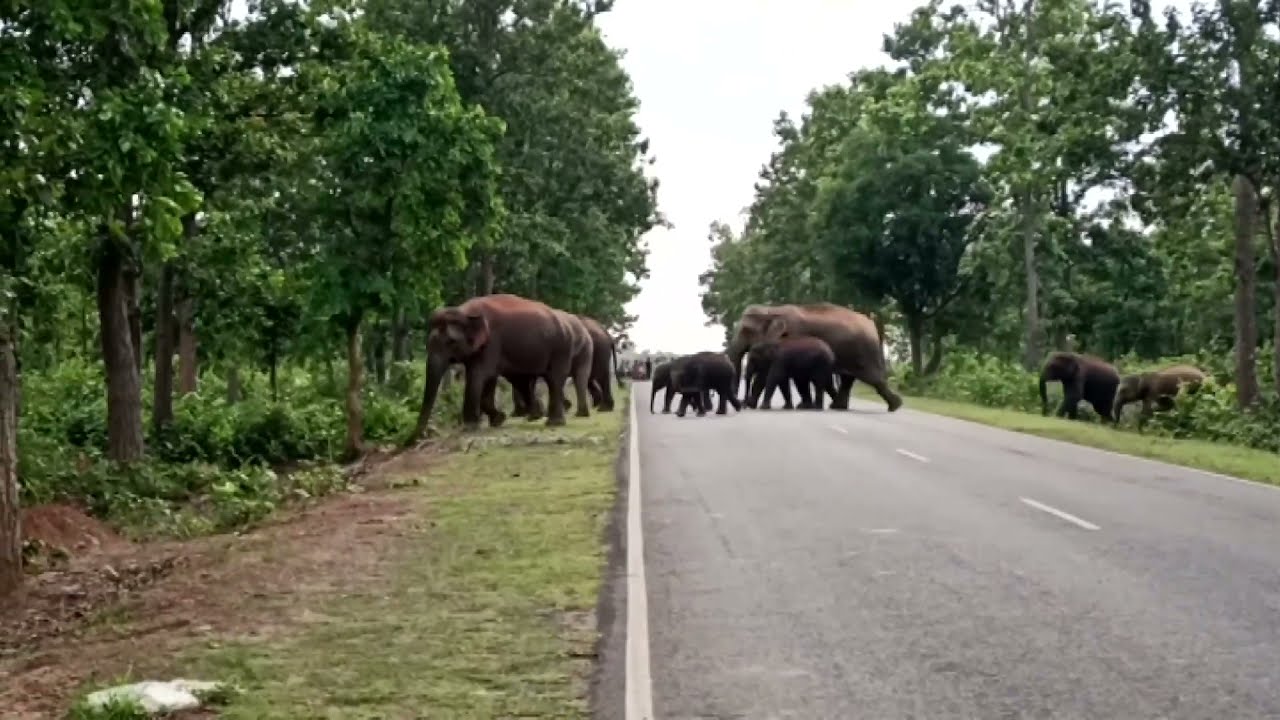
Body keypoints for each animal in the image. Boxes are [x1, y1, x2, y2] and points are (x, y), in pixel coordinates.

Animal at [415, 293, 593, 435]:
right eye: (428, 343)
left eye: (451, 342)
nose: (425, 434)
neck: (464, 312)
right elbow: (488, 378)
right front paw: (498, 420)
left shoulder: (492, 343)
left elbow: (478, 375)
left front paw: (470, 427)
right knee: (526, 381)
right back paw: (538, 416)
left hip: (561, 348)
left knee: (554, 379)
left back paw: (553, 422)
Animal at [727, 303, 902, 413]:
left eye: (746, 330)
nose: (742, 403)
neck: (771, 310)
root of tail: (872, 325)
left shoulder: (793, 334)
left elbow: (769, 374)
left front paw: (752, 405)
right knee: (847, 379)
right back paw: (837, 406)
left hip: (865, 351)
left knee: (874, 378)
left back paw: (895, 406)